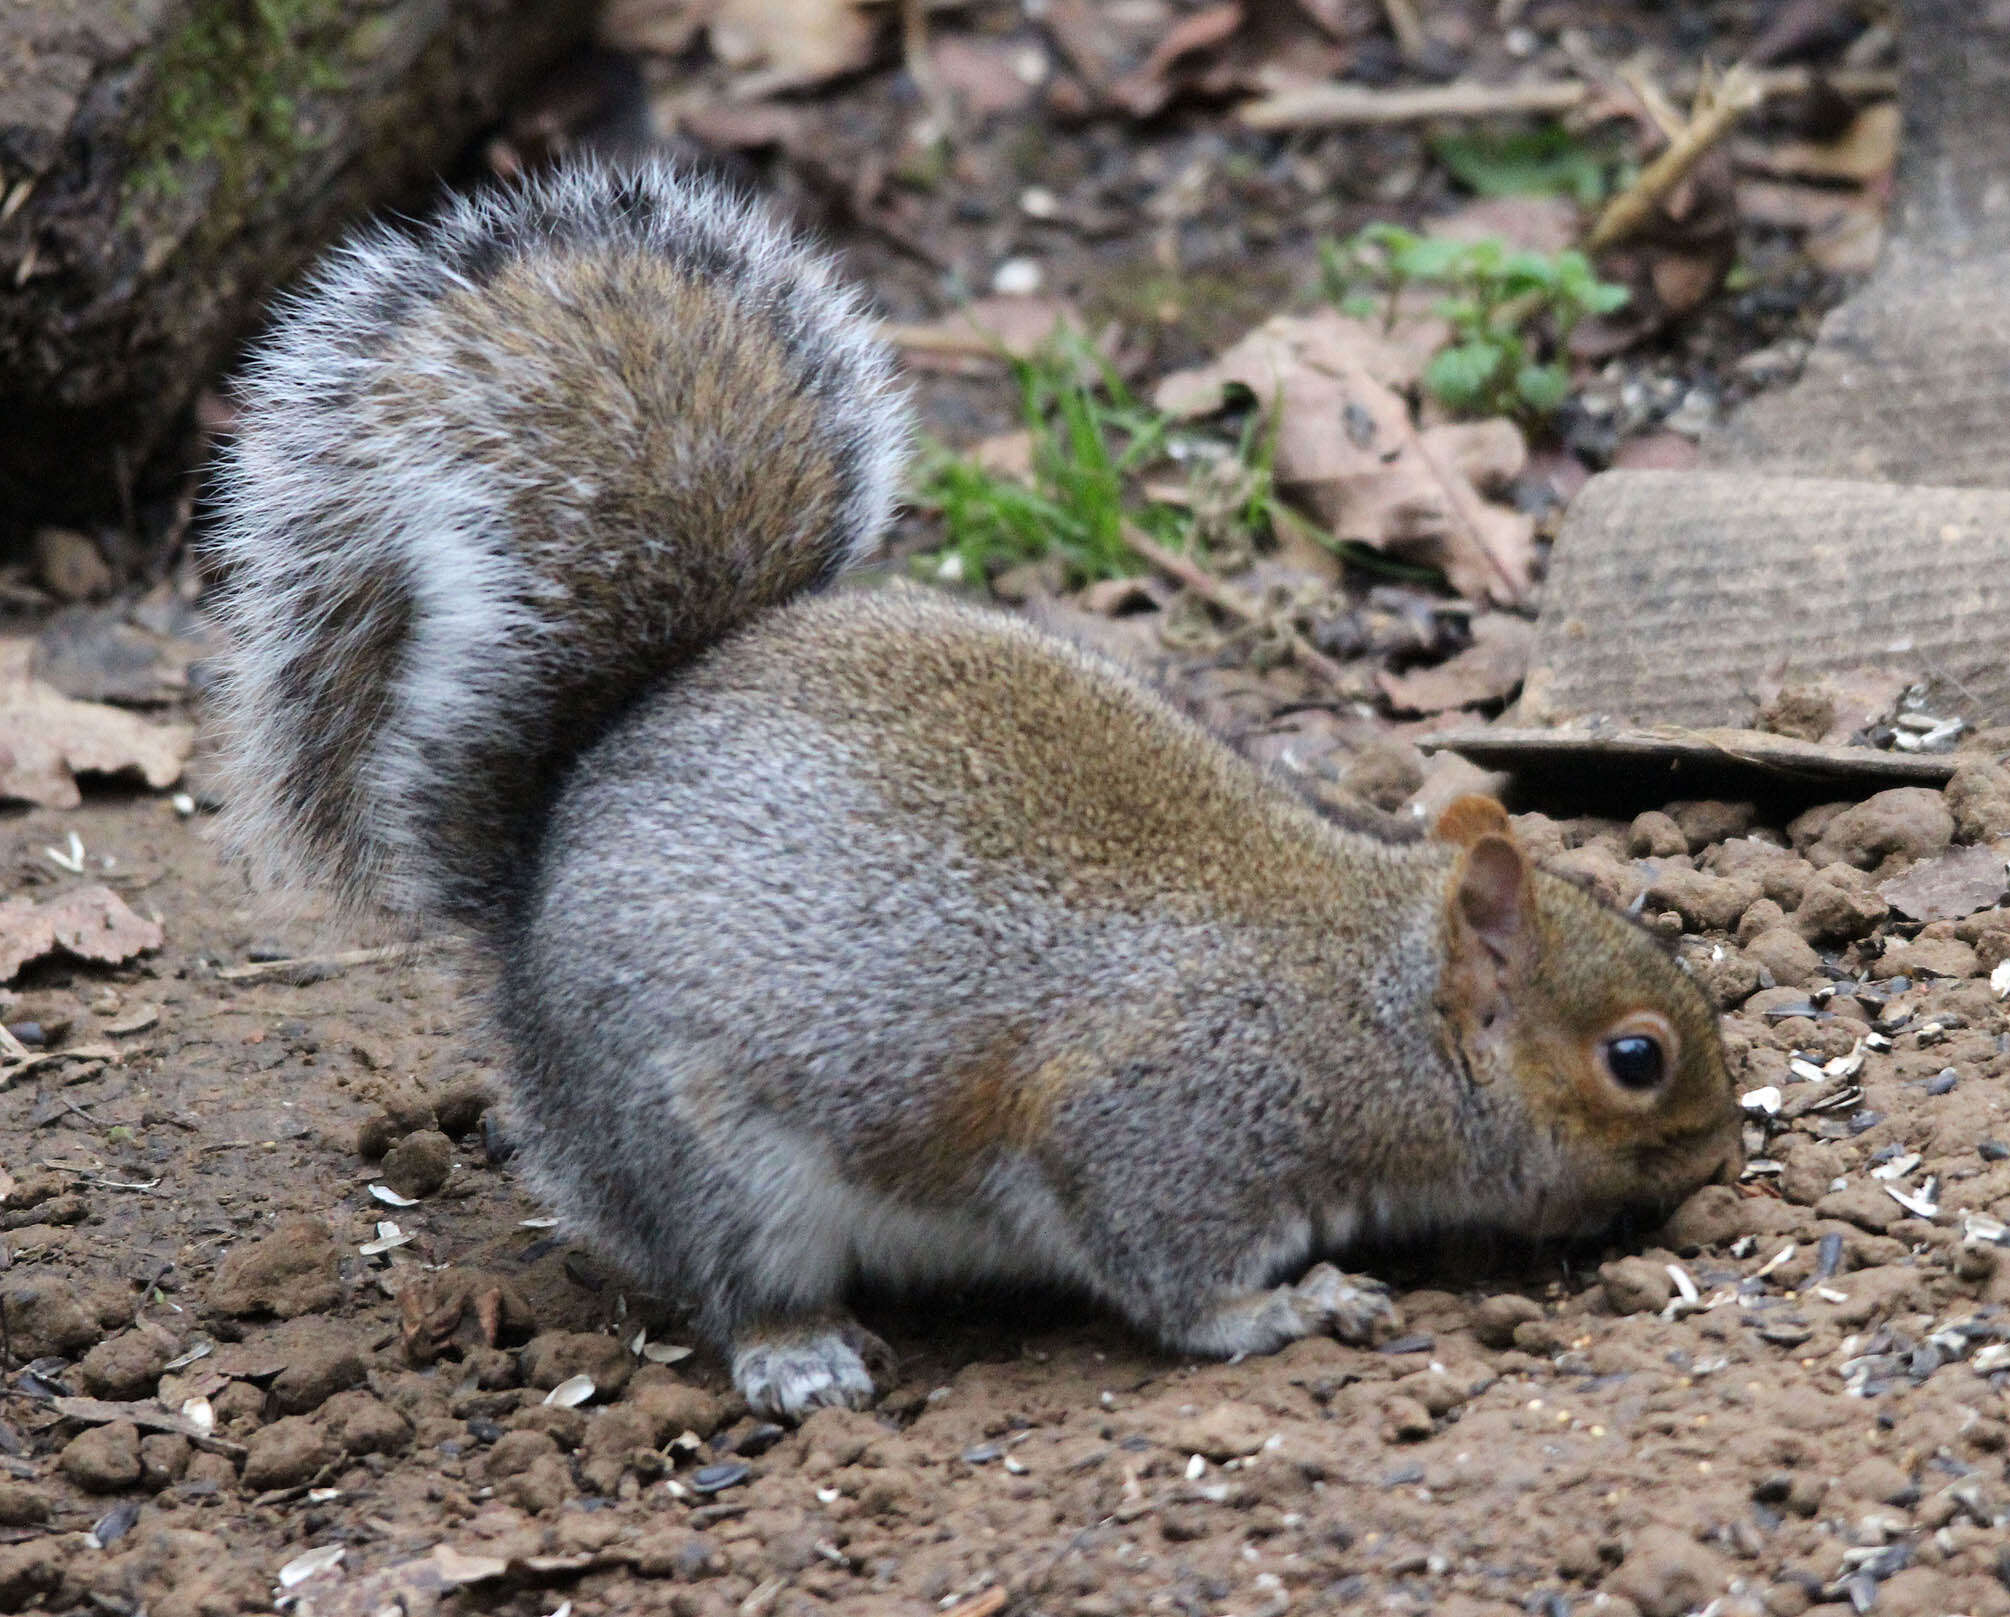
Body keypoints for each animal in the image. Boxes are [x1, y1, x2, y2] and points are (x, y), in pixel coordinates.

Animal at [208, 163, 1744, 1423]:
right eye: (1637, 1058)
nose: (1720, 1161)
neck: (1372, 1004)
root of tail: (542, 859)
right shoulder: (1167, 1118)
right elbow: (1168, 1268)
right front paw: (1291, 1307)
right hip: (704, 1145)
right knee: (732, 1273)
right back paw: (797, 1353)